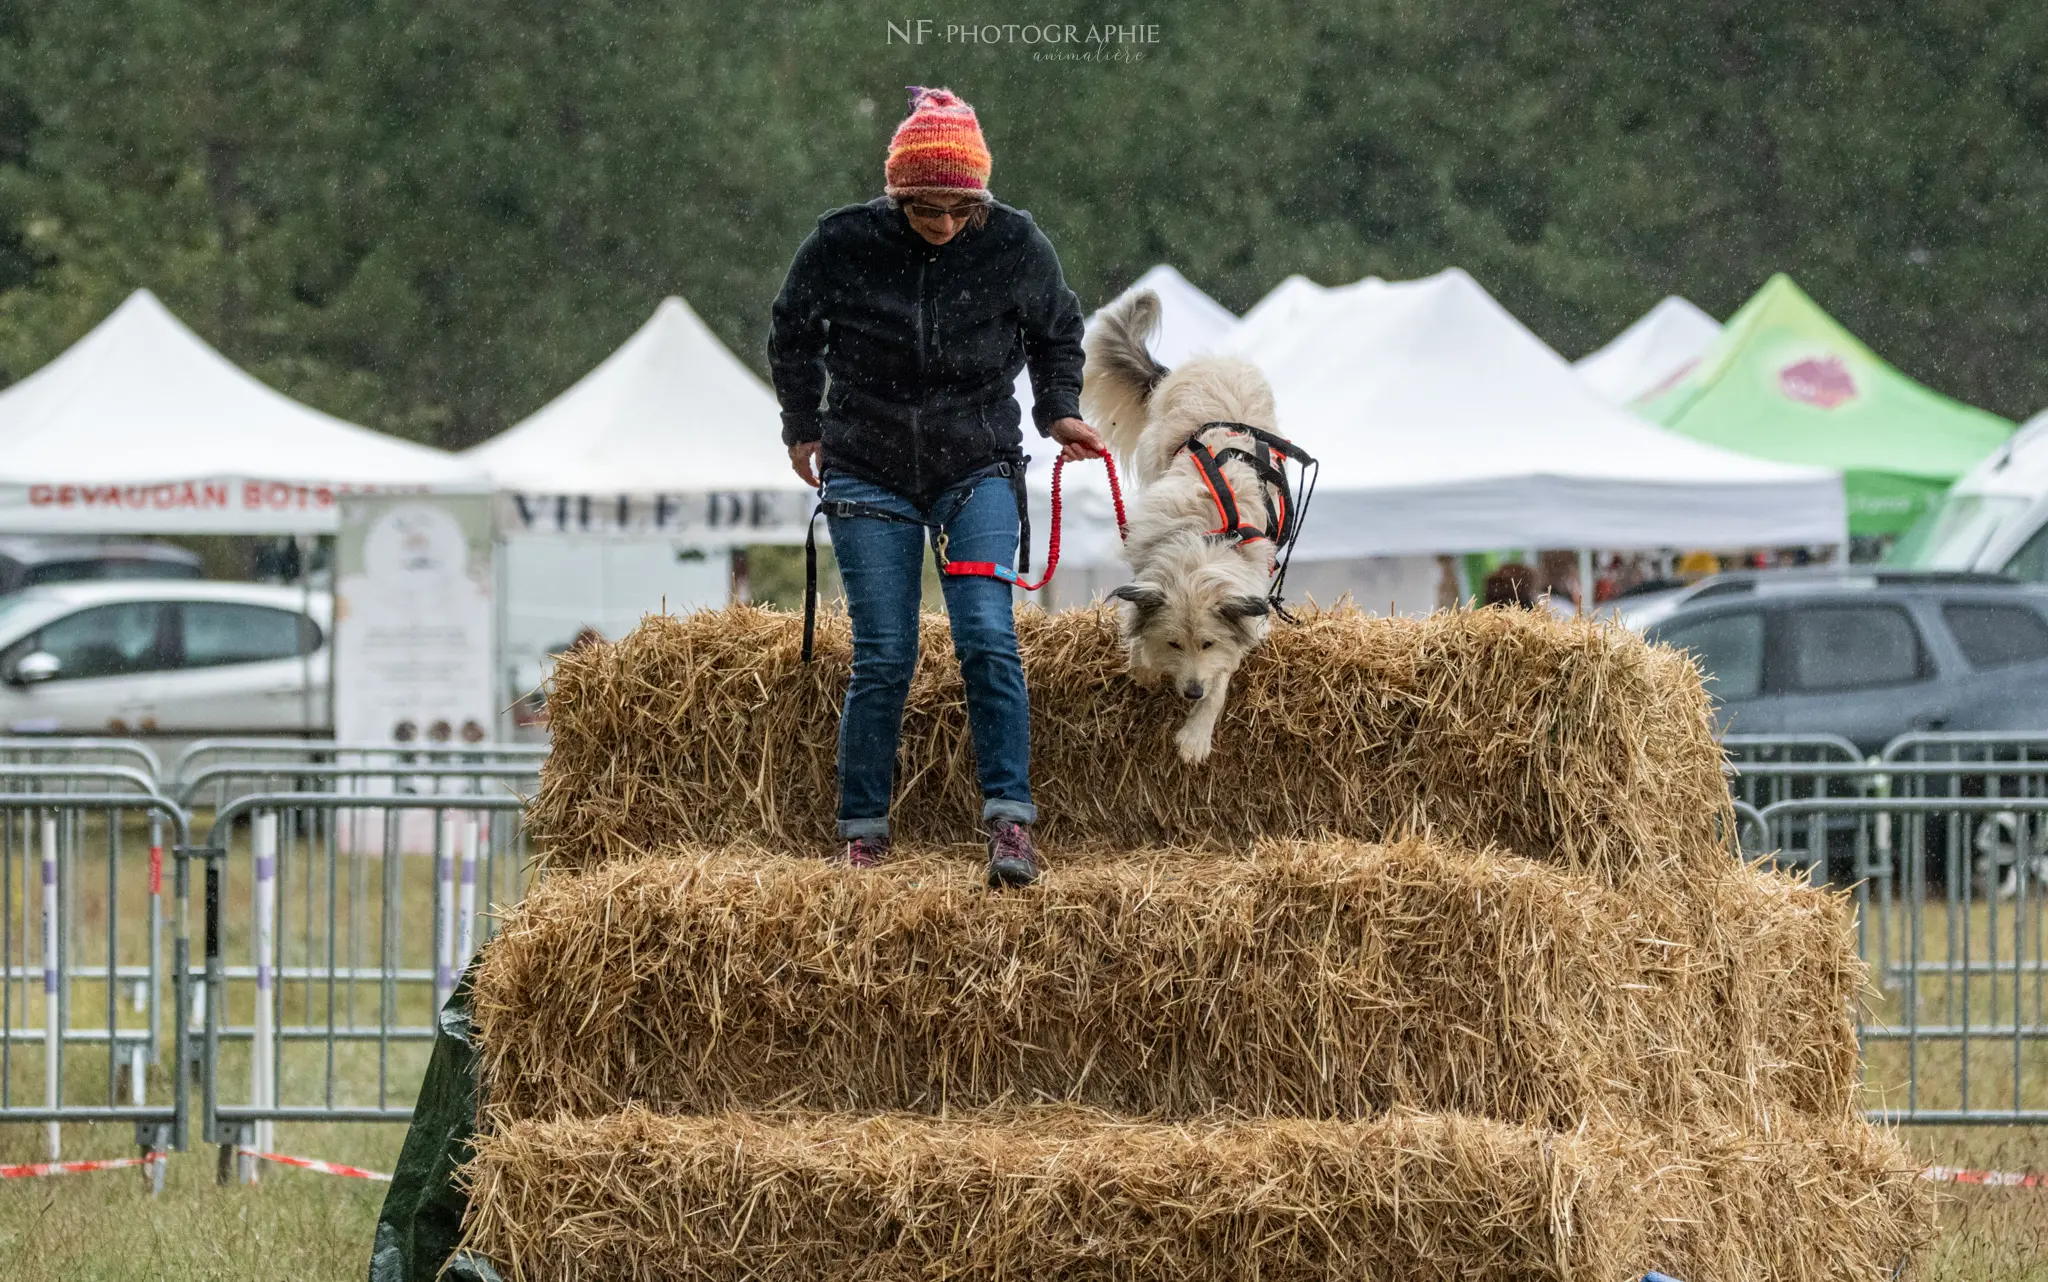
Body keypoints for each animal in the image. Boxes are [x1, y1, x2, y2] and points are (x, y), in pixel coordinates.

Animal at [1089, 288, 1294, 757]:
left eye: (1207, 643)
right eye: (1173, 643)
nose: (1191, 692)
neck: (1201, 544)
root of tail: (1209, 361)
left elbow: (1223, 677)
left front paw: (1197, 733)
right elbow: (1137, 624)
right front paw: (1144, 665)